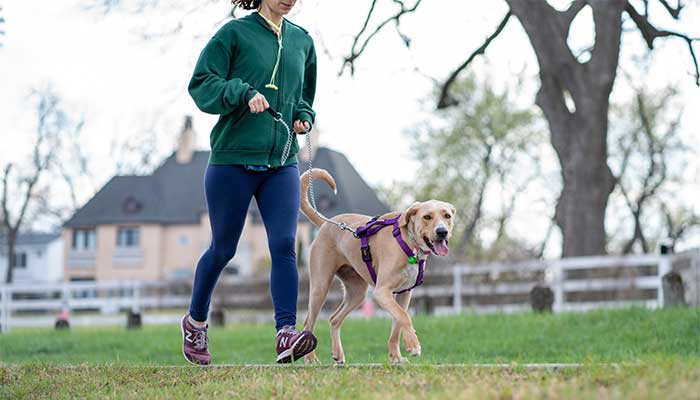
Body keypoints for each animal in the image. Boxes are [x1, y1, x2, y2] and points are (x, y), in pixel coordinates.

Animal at [300, 167, 454, 364]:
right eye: (427, 217)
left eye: (447, 216)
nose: (442, 232)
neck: (408, 242)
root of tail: (326, 224)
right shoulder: (382, 292)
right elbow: (404, 316)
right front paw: (413, 345)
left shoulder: (404, 294)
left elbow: (397, 326)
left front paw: (396, 357)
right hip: (320, 287)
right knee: (308, 322)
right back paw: (310, 359)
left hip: (357, 292)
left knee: (334, 319)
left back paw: (338, 354)